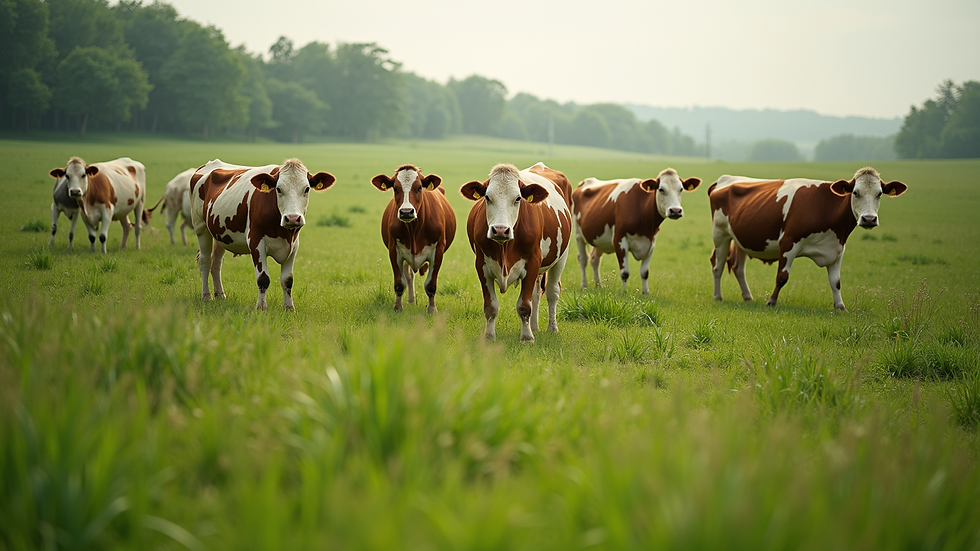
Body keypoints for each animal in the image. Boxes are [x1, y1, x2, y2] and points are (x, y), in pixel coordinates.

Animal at [190, 158, 335, 311]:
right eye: (278, 189)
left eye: (306, 189)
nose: (292, 218)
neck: (284, 233)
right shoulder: (256, 242)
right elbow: (263, 278)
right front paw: (261, 307)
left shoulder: (294, 245)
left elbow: (288, 280)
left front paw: (289, 307)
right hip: (201, 227)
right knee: (204, 260)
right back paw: (206, 296)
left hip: (220, 234)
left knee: (216, 262)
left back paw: (220, 294)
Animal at [371, 164, 457, 313]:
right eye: (395, 188)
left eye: (419, 187)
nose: (406, 212)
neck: (414, 230)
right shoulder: (394, 250)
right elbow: (400, 283)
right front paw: (398, 308)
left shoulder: (438, 250)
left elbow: (430, 284)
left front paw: (432, 309)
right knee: (409, 276)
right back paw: (411, 300)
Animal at [460, 162, 572, 342]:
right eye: (487, 197)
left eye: (518, 198)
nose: (500, 230)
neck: (504, 249)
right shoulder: (481, 265)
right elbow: (491, 306)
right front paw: (489, 336)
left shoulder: (532, 262)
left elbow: (524, 306)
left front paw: (527, 337)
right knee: (536, 293)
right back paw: (535, 326)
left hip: (561, 257)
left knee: (552, 292)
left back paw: (552, 328)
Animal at [571, 168, 701, 294]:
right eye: (661, 189)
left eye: (681, 189)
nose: (675, 210)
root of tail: (585, 182)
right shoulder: (619, 240)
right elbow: (624, 273)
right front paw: (624, 292)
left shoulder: (651, 243)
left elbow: (645, 272)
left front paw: (645, 292)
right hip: (578, 235)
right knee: (583, 259)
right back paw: (584, 285)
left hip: (599, 240)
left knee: (595, 260)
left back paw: (599, 285)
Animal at [708, 167, 908, 311]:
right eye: (855, 192)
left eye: (879, 193)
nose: (869, 219)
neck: (826, 208)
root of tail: (724, 178)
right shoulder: (788, 242)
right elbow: (782, 277)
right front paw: (771, 301)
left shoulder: (837, 249)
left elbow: (836, 282)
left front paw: (840, 306)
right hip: (720, 234)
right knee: (718, 266)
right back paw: (717, 296)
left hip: (741, 238)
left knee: (738, 267)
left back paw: (748, 297)